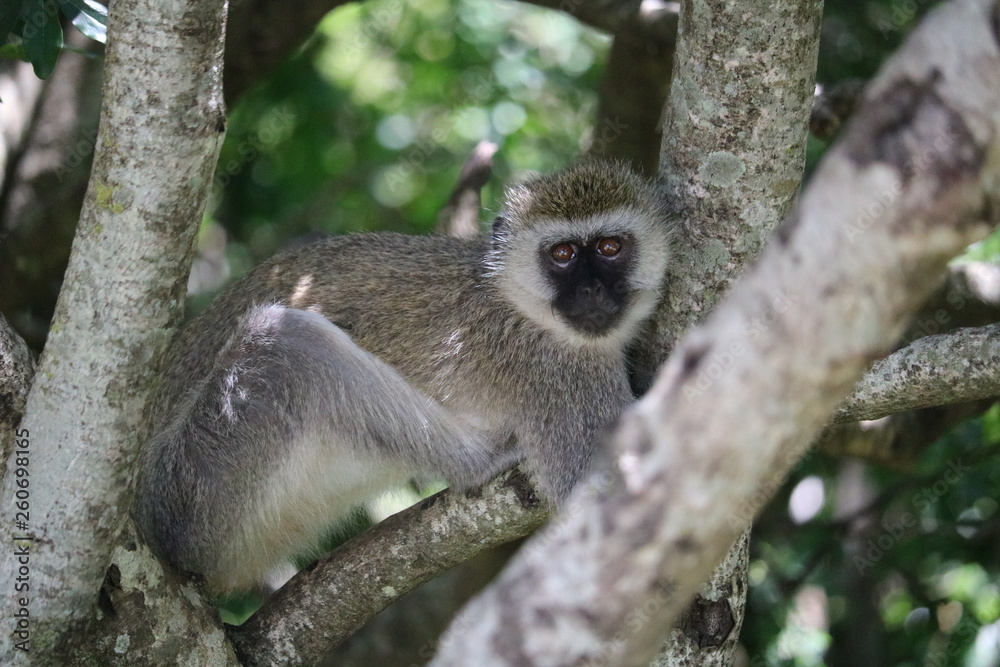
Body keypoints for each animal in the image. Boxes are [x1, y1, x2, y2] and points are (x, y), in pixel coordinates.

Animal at [133, 160, 673, 595]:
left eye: (609, 247)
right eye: (562, 254)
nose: (590, 291)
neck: (514, 297)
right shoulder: (559, 372)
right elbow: (603, 500)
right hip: (191, 492)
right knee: (283, 342)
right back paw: (478, 462)